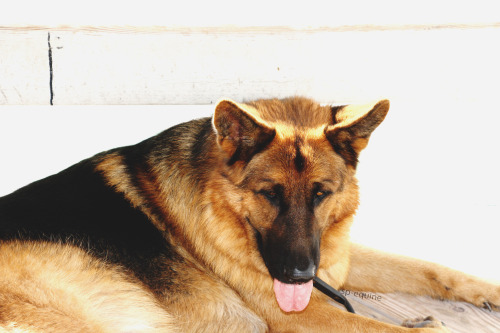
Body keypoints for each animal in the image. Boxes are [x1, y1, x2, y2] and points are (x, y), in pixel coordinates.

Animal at [0, 96, 498, 330]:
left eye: (321, 194)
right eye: (269, 194)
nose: (299, 275)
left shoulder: (331, 259)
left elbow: (427, 268)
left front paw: (486, 291)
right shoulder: (308, 318)